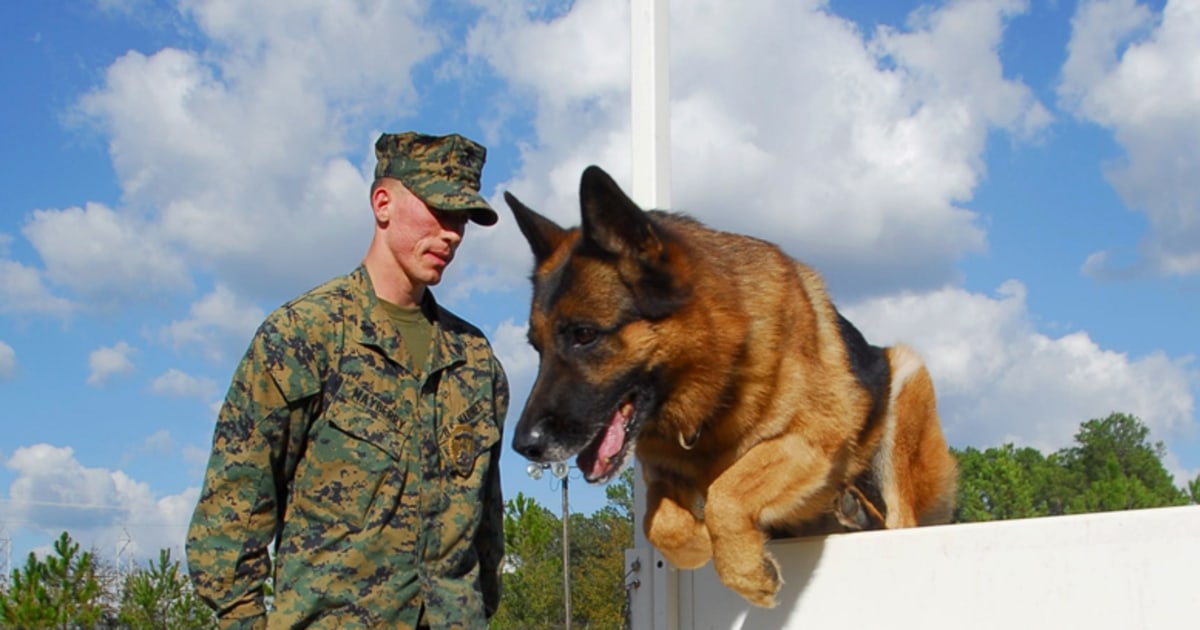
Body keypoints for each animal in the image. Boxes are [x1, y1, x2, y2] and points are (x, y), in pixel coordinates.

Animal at [504, 165, 955, 604]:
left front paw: (748, 573)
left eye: (584, 335)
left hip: (908, 378)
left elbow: (727, 491)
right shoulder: (663, 472)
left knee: (899, 520)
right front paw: (698, 545)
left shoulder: (813, 438)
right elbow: (659, 522)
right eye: (536, 347)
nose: (524, 445)